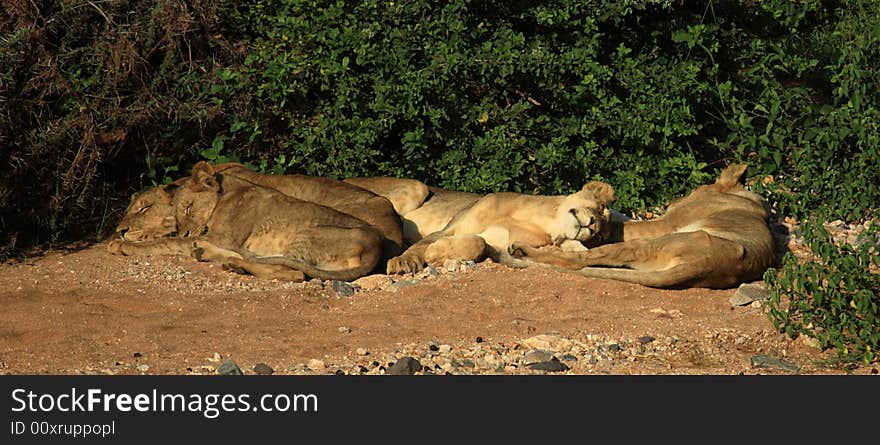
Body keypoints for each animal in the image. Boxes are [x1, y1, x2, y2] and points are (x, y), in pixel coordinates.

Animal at [109, 162, 382, 280]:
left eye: (188, 207)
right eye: (176, 214)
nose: (120, 231)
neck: (225, 192)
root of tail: (375, 248)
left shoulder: (222, 236)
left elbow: (167, 243)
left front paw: (122, 245)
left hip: (305, 235)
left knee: (292, 272)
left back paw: (226, 260)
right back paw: (213, 255)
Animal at [382, 181, 616, 274]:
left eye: (598, 238)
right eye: (599, 207)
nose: (593, 226)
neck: (540, 219)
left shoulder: (497, 248)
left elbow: (478, 242)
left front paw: (436, 253)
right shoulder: (450, 227)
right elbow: (420, 246)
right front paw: (402, 262)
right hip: (417, 188)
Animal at [506, 163, 772, 288]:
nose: (668, 202)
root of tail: (707, 266)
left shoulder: (665, 223)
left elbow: (621, 226)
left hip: (653, 242)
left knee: (578, 260)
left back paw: (522, 250)